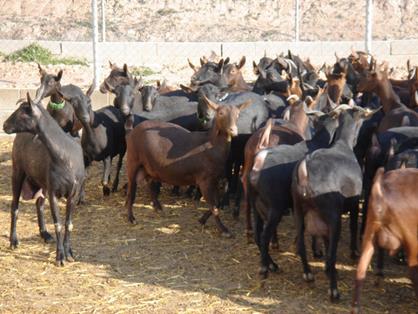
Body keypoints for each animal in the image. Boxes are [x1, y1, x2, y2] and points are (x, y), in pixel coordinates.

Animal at [122, 97, 250, 237]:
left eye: (238, 114)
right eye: (220, 113)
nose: (233, 131)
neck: (210, 144)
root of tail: (131, 132)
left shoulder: (216, 178)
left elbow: (217, 201)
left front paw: (202, 220)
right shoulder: (204, 179)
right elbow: (214, 206)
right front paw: (224, 230)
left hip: (149, 166)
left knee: (149, 182)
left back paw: (158, 207)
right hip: (133, 159)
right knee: (132, 188)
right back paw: (131, 217)